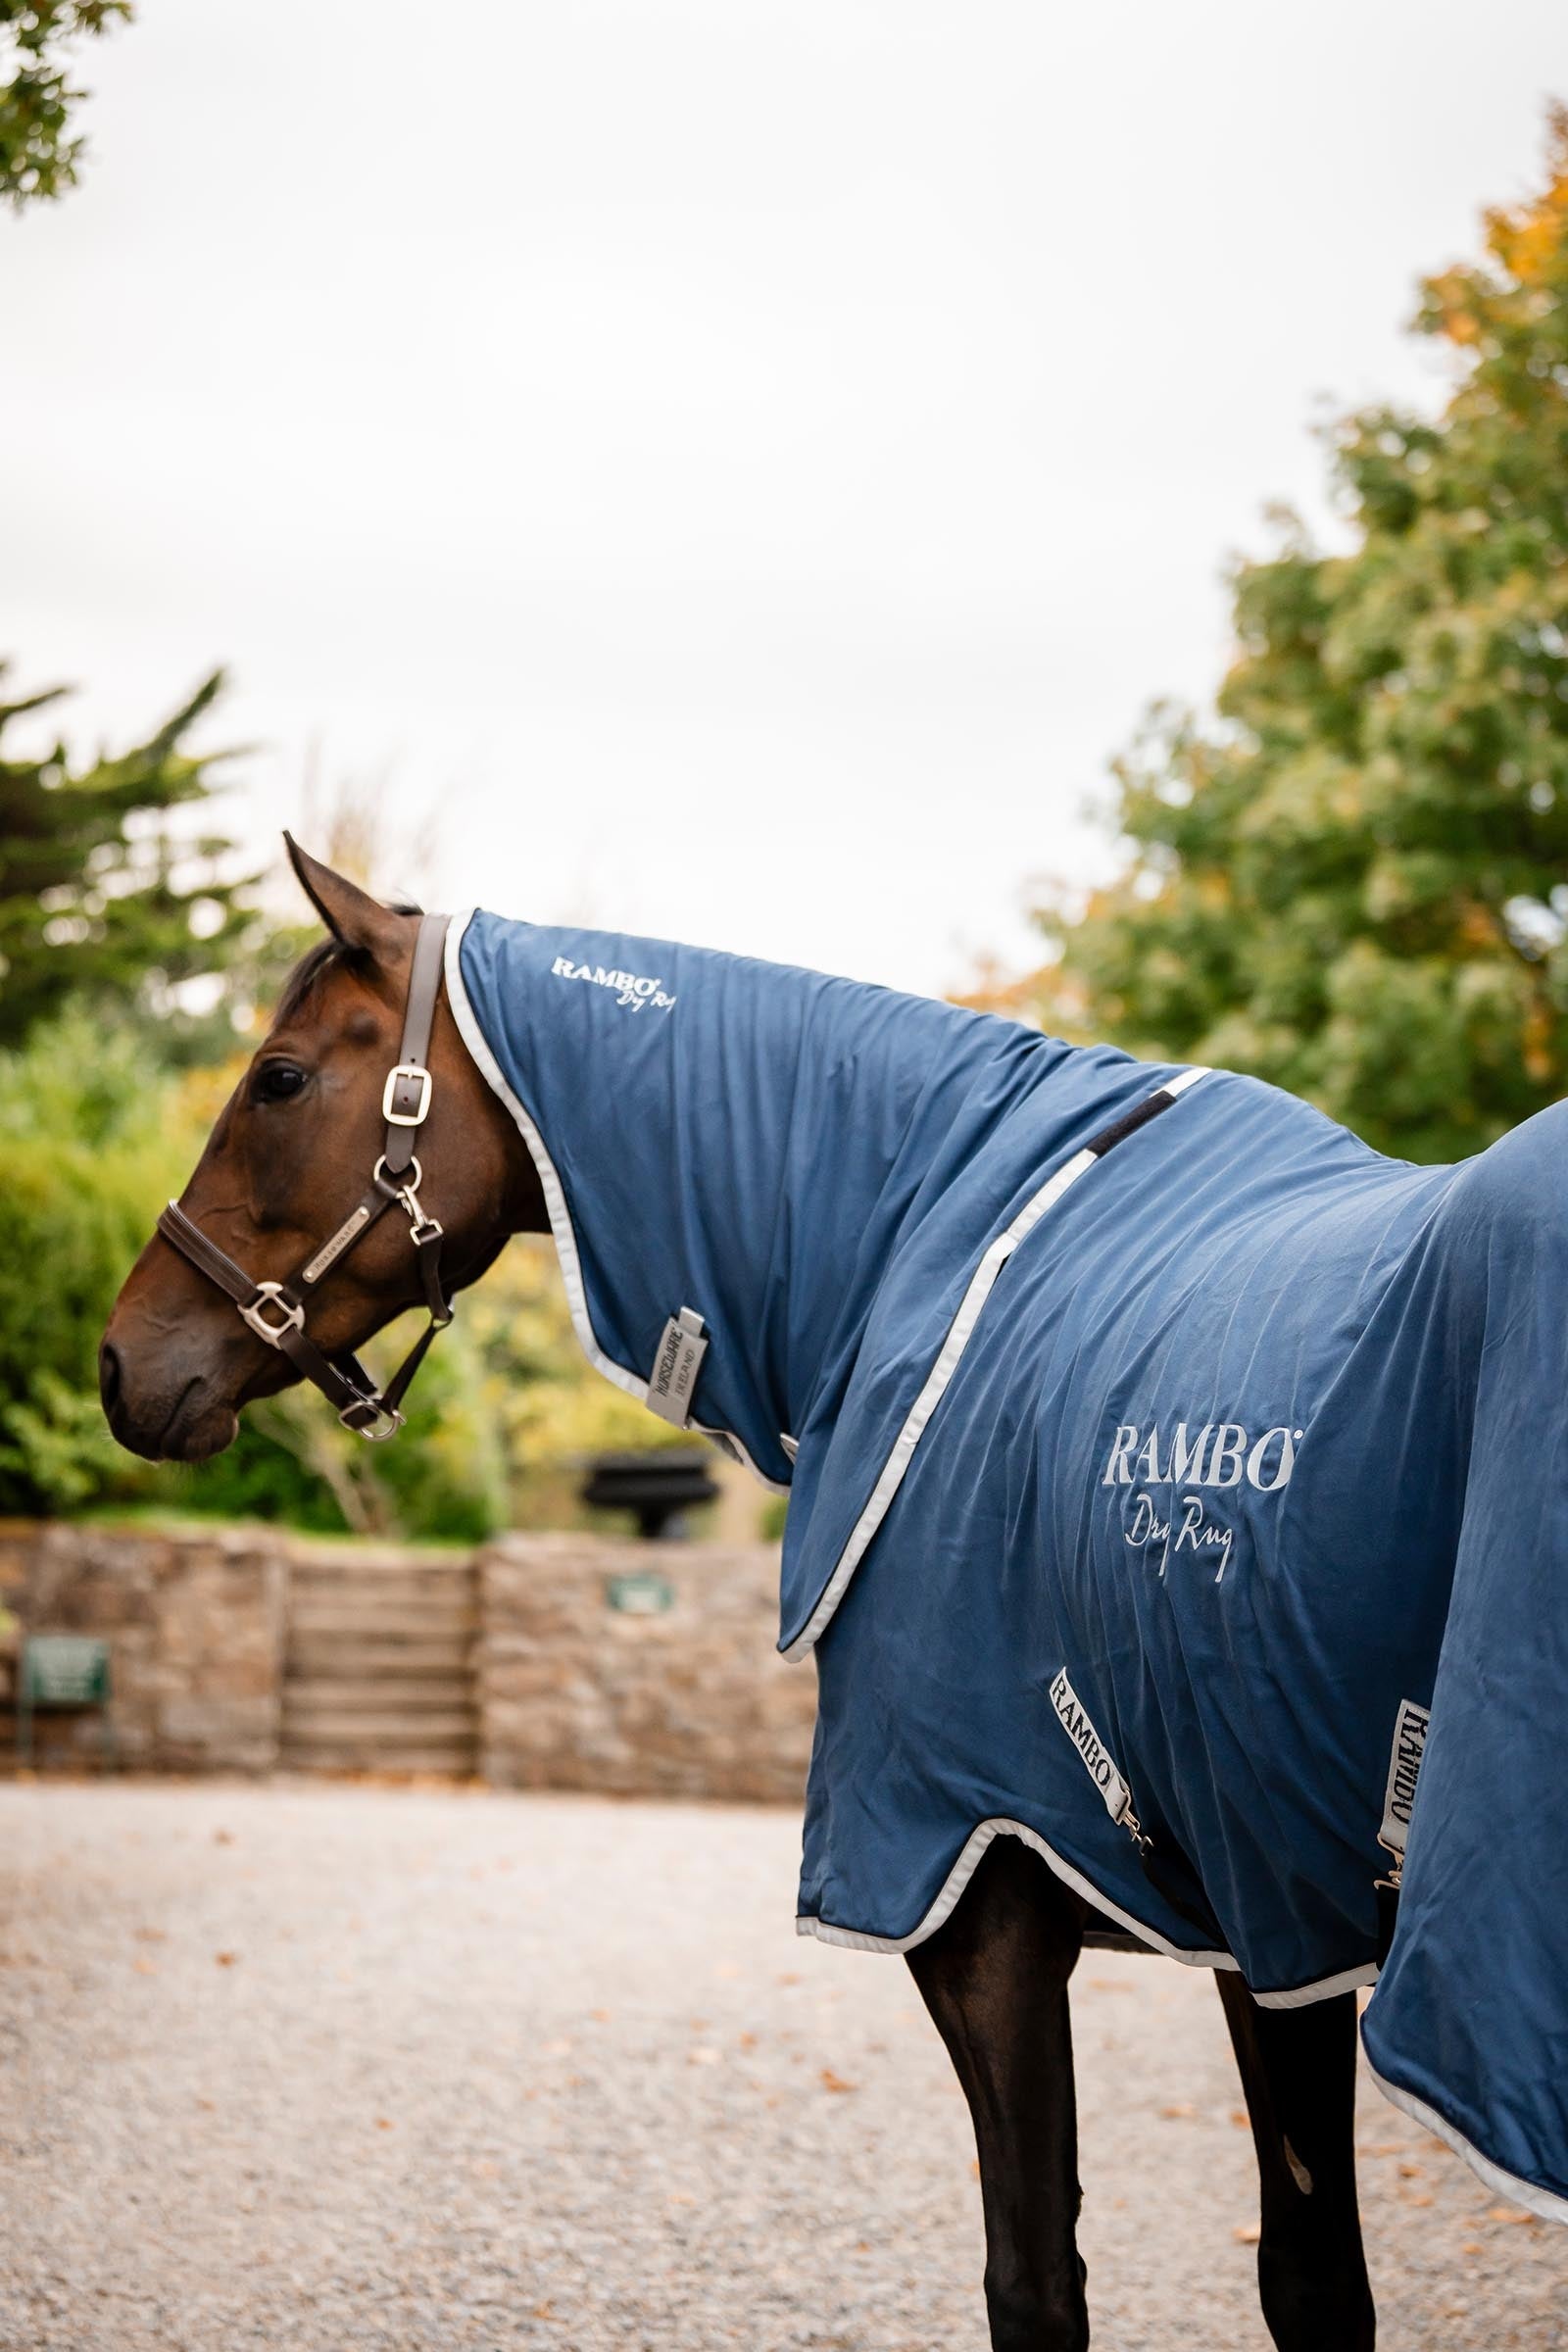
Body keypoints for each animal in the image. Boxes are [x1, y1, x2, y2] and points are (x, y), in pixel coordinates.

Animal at [102, 840, 1565, 2350]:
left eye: (277, 1079)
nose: (120, 1361)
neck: (941, 1249)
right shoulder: (1271, 1924)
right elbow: (1310, 2280)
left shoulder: (970, 1888)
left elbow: (1034, 2283)